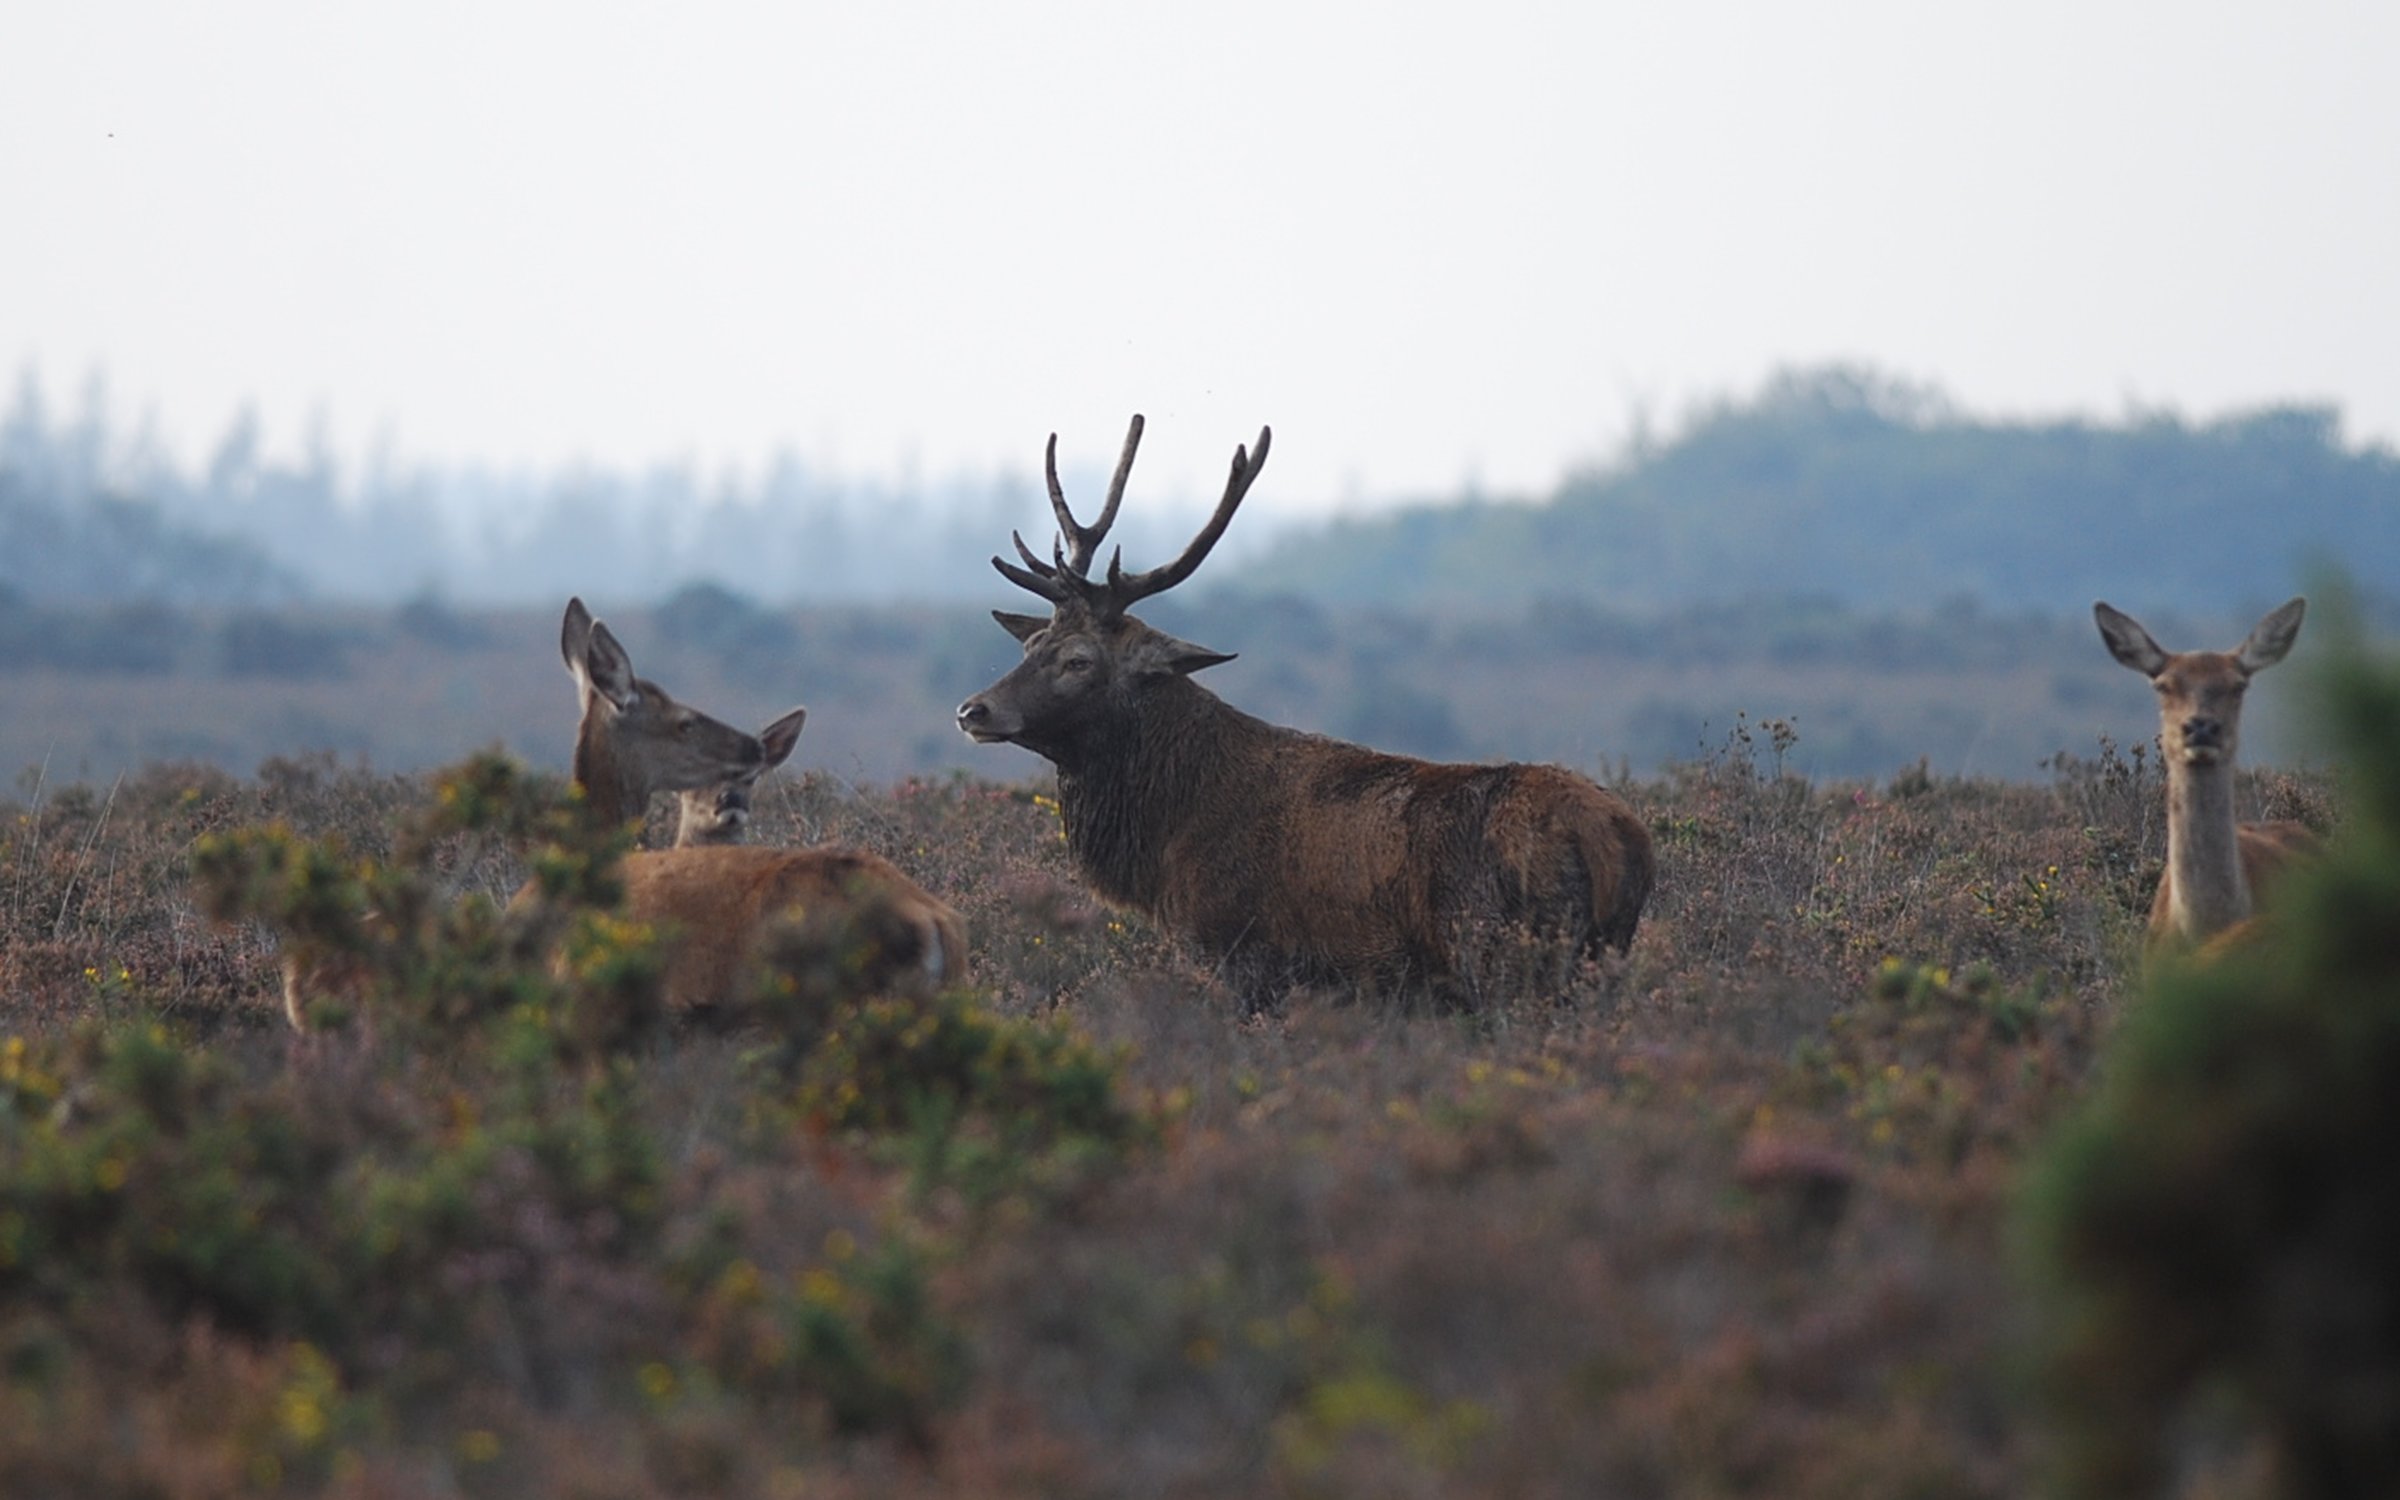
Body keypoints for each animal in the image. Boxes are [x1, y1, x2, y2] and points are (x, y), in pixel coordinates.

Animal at [956, 415, 1655, 1011]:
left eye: (1079, 660)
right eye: (1029, 646)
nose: (973, 709)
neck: (1167, 836)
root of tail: (1621, 843)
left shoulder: (1243, 953)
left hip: (1504, 954)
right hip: (1597, 956)